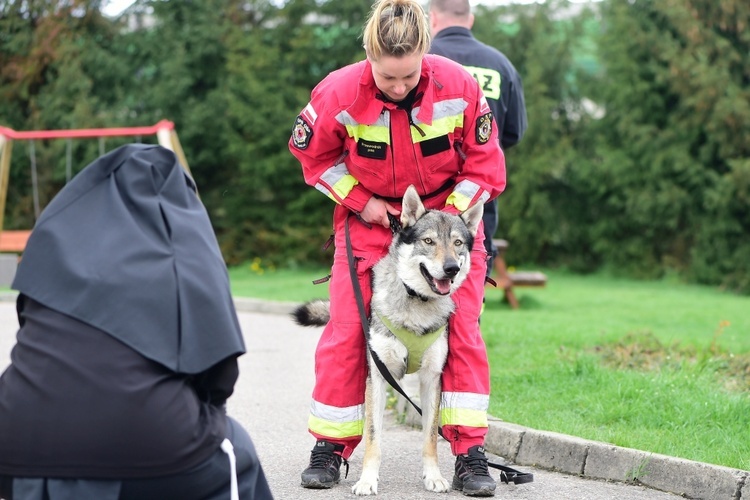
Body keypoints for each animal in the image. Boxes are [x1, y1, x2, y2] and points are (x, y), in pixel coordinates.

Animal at [290, 185, 484, 496]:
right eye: (428, 241)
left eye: (457, 244)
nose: (452, 268)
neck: (416, 305)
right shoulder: (378, 378)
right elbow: (372, 438)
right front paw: (367, 481)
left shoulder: (432, 378)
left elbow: (430, 438)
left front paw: (434, 477)